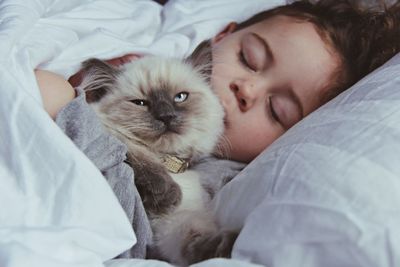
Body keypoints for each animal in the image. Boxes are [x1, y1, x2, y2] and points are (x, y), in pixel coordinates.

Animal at [79, 51, 239, 266]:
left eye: (180, 97)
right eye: (140, 103)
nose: (166, 116)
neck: (169, 163)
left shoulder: (172, 222)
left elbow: (195, 240)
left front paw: (229, 248)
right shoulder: (110, 134)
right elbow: (137, 153)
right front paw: (168, 194)